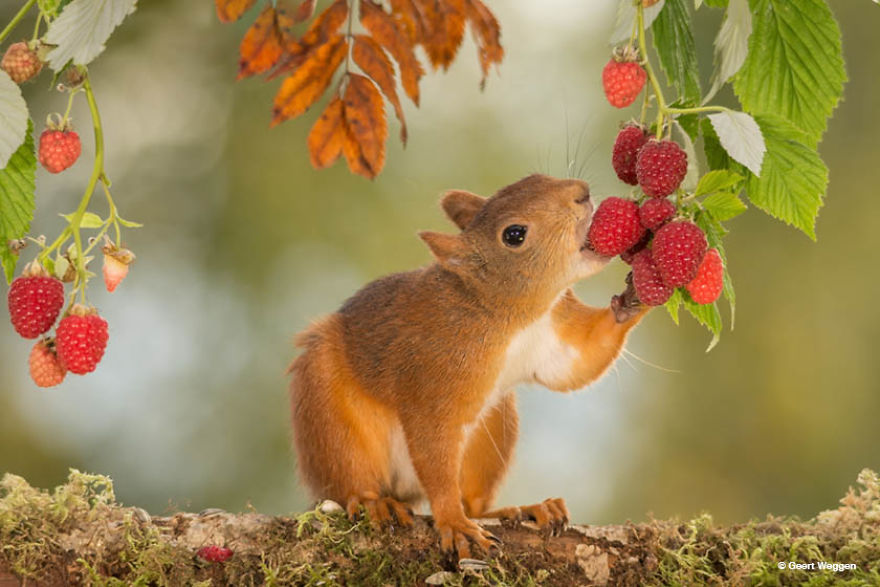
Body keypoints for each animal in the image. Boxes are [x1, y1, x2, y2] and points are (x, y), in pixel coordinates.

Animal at [288, 174, 648, 559]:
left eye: (535, 178)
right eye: (514, 235)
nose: (581, 193)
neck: (509, 316)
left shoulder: (554, 335)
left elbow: (578, 363)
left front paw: (635, 296)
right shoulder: (434, 376)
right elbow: (434, 449)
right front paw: (453, 523)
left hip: (493, 430)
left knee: (474, 502)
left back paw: (527, 509)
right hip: (330, 417)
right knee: (349, 480)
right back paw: (375, 502)